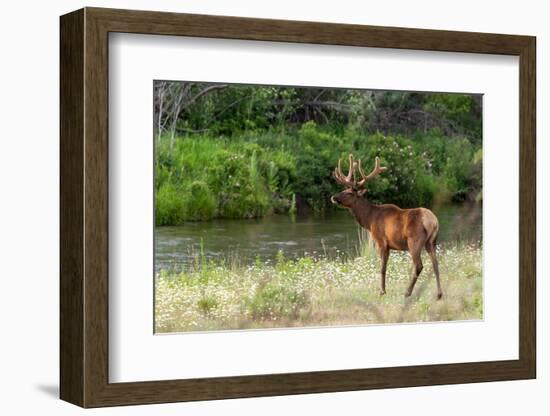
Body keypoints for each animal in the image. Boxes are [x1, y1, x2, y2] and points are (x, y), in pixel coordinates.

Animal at [332, 155, 444, 300]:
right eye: (343, 190)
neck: (369, 220)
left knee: (419, 265)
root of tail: (432, 221)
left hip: (414, 240)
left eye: (349, 193)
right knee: (435, 264)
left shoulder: (382, 241)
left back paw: (407, 292)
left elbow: (382, 268)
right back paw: (439, 294)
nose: (333, 197)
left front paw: (382, 291)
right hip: (432, 241)